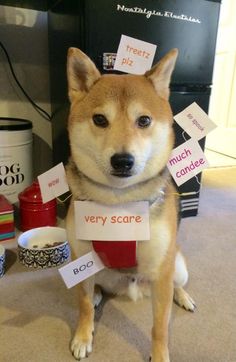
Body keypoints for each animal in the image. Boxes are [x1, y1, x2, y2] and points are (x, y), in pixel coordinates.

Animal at [65, 48, 195, 362]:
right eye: (100, 119)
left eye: (144, 121)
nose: (123, 161)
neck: (119, 202)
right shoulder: (80, 259)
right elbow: (83, 305)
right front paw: (83, 336)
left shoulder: (162, 269)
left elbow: (160, 326)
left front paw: (159, 356)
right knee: (97, 289)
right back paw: (98, 295)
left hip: (176, 266)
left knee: (177, 284)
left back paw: (183, 297)